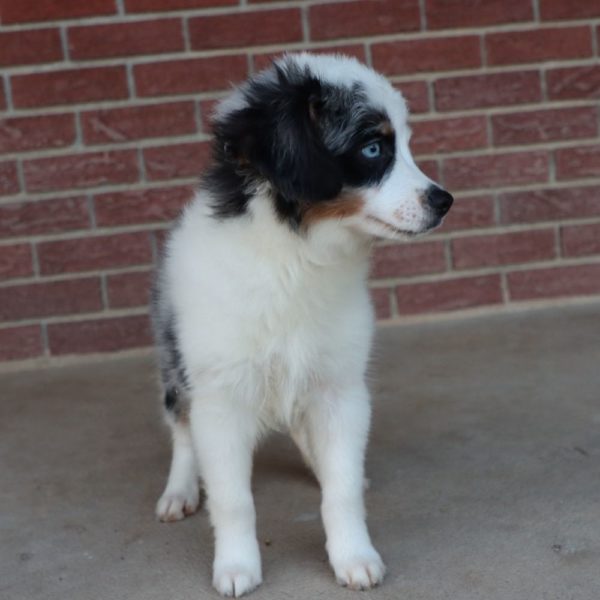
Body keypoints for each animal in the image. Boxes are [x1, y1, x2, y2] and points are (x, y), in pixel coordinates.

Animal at [152, 51, 452, 596]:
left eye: (405, 144)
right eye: (373, 148)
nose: (445, 201)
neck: (296, 258)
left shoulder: (340, 387)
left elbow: (342, 490)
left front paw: (354, 556)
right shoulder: (220, 398)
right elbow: (233, 499)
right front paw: (236, 567)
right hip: (174, 362)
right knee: (181, 429)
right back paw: (180, 490)